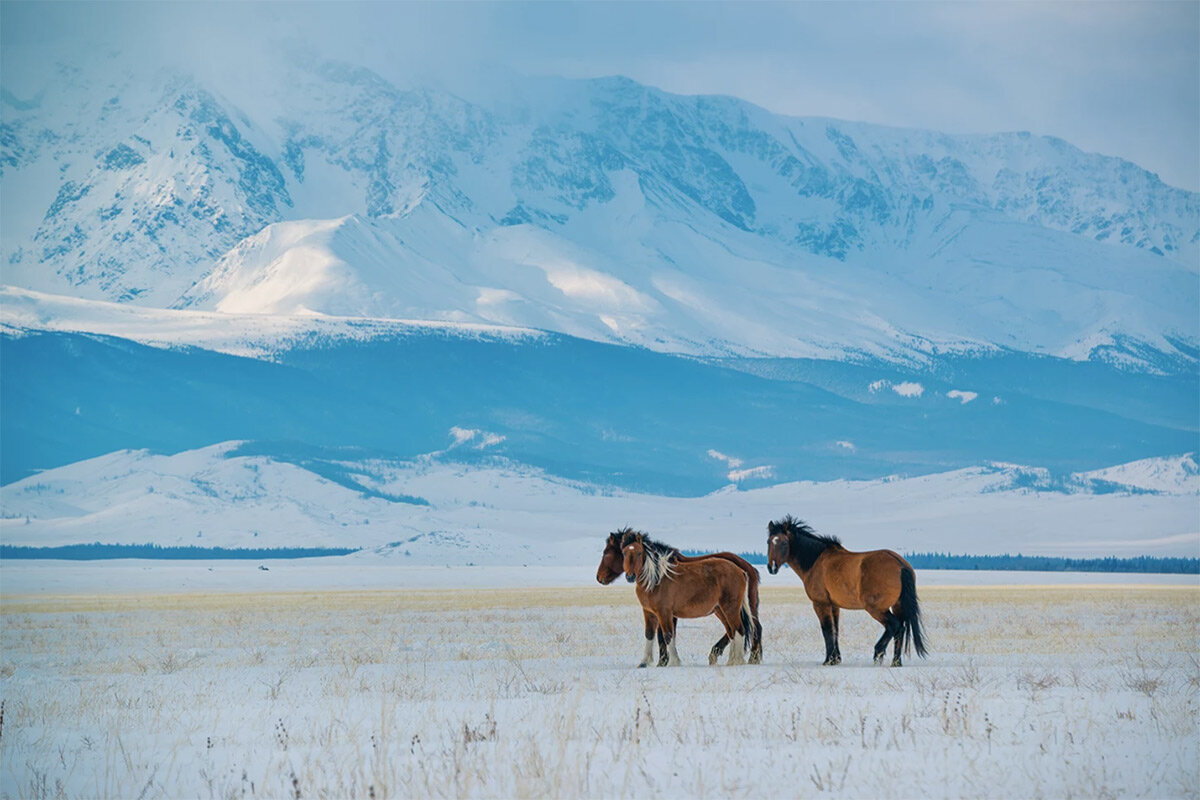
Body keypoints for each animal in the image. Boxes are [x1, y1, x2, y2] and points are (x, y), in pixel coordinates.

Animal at [595, 527, 763, 666]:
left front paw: (672, 662)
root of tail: (741, 570)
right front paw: (644, 662)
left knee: (740, 629)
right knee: (732, 631)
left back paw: (739, 661)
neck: (655, 579)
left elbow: (667, 635)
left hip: (731, 607)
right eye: (623, 553)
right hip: (721, 609)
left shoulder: (665, 613)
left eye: (638, 553)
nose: (599, 578)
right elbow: (650, 635)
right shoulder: (649, 612)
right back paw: (730, 660)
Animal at [768, 515, 926, 666]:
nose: (772, 567)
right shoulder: (834, 606)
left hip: (876, 608)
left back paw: (878, 652)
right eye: (769, 541)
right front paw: (836, 659)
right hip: (897, 606)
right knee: (901, 630)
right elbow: (835, 630)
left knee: (895, 626)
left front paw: (828, 660)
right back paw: (896, 662)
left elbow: (827, 630)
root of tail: (900, 565)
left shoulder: (821, 604)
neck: (815, 561)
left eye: (784, 543)